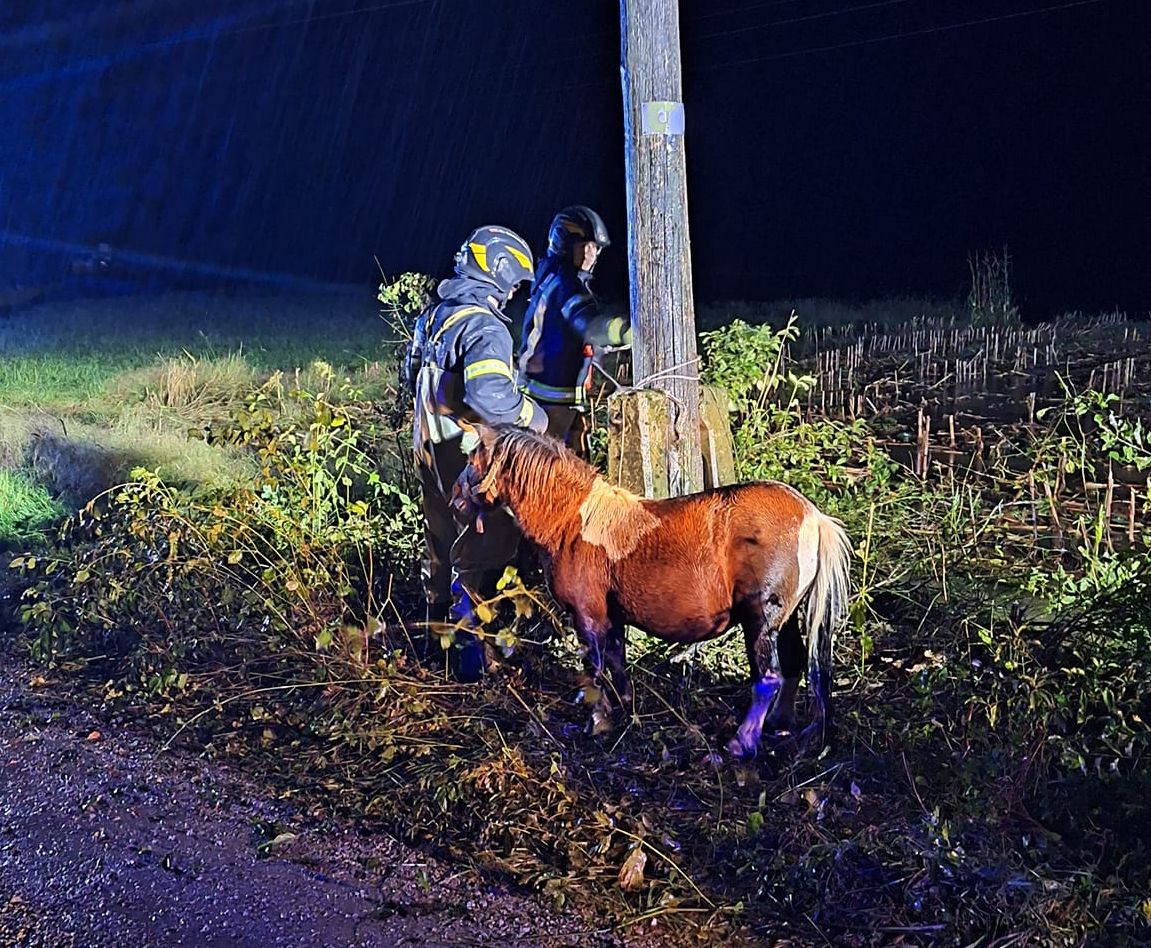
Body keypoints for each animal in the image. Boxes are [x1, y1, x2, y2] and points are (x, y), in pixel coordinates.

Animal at [453, 425, 851, 759]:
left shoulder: (588, 616)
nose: (456, 499)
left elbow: (595, 669)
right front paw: (623, 709)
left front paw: (597, 721)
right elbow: (616, 661)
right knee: (794, 665)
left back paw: (742, 743)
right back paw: (778, 726)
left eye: (473, 459)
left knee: (768, 679)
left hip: (761, 619)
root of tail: (813, 517)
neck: (573, 522)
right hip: (786, 618)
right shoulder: (611, 617)